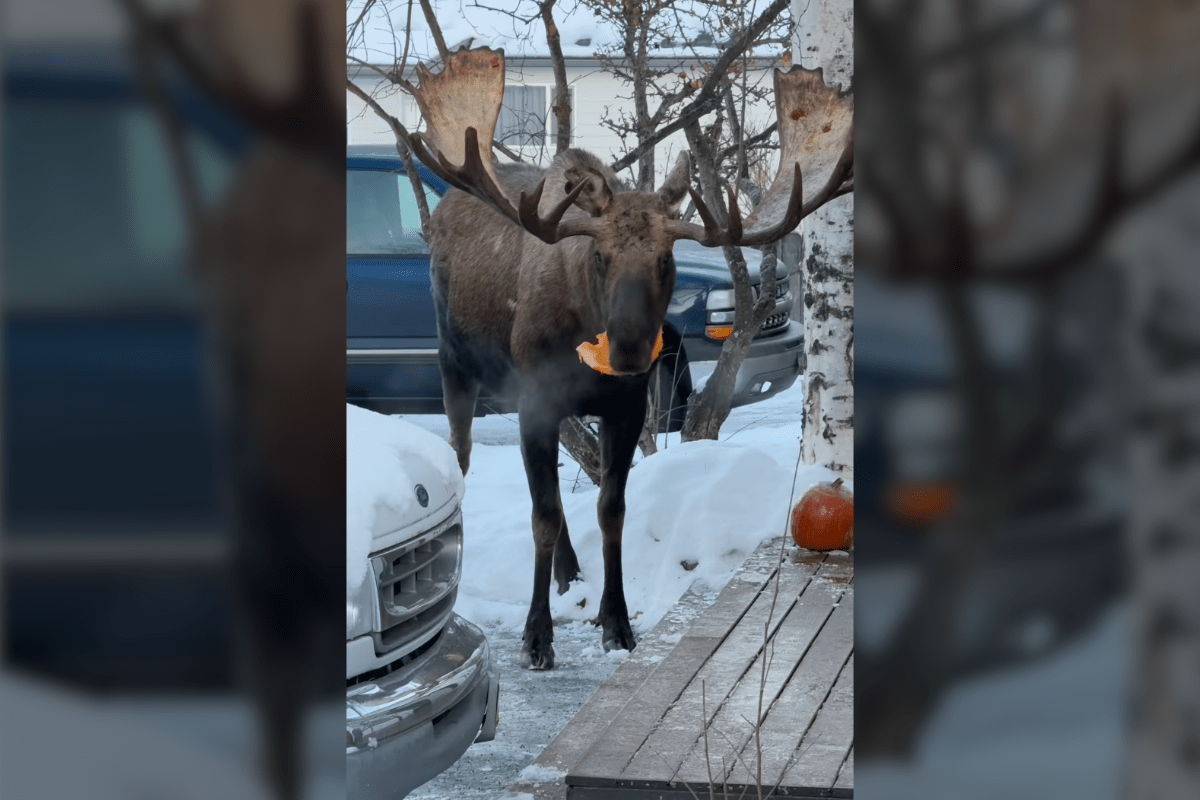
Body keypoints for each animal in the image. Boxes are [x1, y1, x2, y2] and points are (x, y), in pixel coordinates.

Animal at [404, 46, 852, 670]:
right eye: (600, 255)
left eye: (667, 259)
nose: (630, 347)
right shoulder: (537, 398)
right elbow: (543, 515)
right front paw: (536, 636)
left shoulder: (625, 406)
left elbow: (609, 509)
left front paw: (615, 623)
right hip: (455, 360)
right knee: (465, 455)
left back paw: (570, 572)